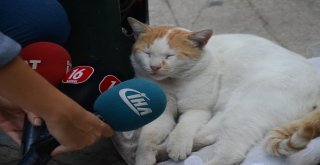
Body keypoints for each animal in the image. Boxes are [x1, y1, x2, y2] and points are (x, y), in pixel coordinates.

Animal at [127, 17, 320, 165]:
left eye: (170, 55)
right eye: (147, 53)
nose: (154, 67)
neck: (172, 82)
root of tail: (316, 79)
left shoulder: (197, 110)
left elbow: (183, 129)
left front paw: (178, 145)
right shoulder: (162, 113)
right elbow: (148, 136)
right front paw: (144, 157)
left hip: (242, 111)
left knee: (230, 153)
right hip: (226, 114)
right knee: (207, 136)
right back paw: (160, 152)